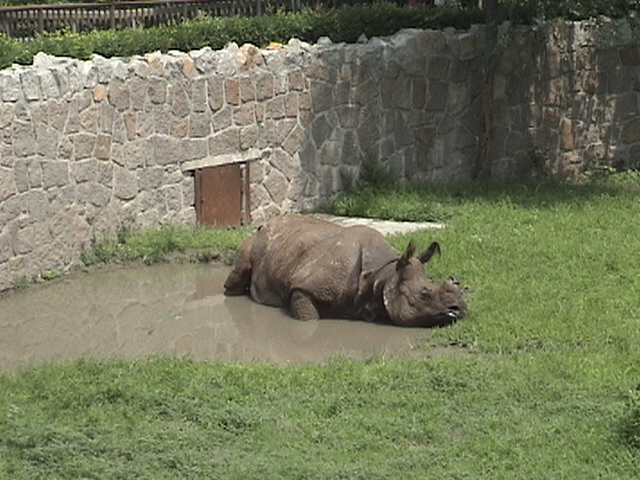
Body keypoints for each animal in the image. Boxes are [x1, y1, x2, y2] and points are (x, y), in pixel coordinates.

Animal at [223, 215, 466, 327]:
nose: (460, 309)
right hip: (257, 239)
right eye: (424, 294)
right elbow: (309, 318)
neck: (383, 275)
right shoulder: (303, 287)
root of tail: (266, 223)